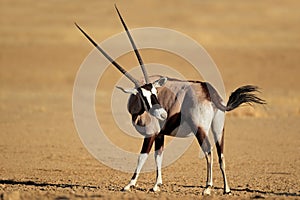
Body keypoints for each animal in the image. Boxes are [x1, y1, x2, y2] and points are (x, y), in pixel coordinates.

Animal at [74, 5, 264, 195]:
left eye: (154, 93)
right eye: (145, 95)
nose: (163, 114)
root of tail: (209, 92)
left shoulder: (151, 134)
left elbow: (142, 157)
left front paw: (129, 184)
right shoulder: (160, 134)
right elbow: (158, 156)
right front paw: (156, 185)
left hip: (200, 128)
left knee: (208, 151)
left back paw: (207, 187)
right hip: (218, 128)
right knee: (221, 153)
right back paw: (226, 189)